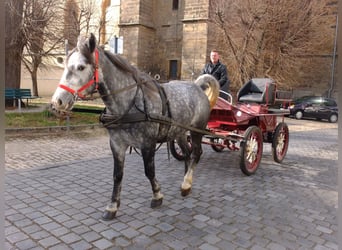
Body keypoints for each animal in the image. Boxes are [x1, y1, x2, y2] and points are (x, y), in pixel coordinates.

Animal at [50, 33, 219, 221]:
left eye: (80, 67)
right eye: (65, 66)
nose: (57, 101)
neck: (129, 103)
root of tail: (197, 87)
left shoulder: (148, 144)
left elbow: (149, 171)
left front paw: (157, 196)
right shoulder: (117, 144)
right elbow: (117, 175)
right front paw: (112, 206)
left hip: (196, 130)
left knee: (196, 153)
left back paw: (187, 182)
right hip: (179, 132)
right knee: (188, 154)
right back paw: (186, 183)